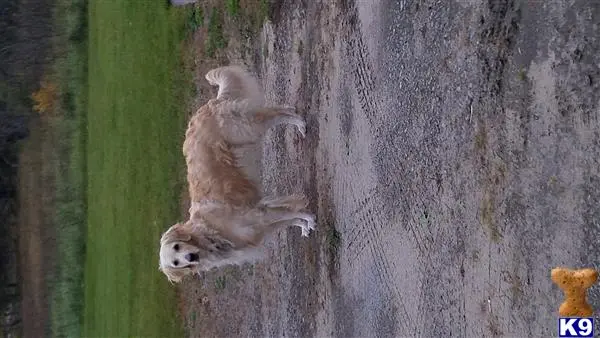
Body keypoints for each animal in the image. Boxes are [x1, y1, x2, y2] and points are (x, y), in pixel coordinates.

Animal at [159, 65, 318, 282]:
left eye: (177, 246)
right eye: (175, 262)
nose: (190, 257)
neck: (211, 233)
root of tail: (209, 104)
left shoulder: (258, 215)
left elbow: (294, 212)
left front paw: (309, 219)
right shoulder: (261, 227)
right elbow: (291, 217)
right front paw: (304, 225)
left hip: (246, 129)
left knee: (278, 114)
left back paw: (300, 123)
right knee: (279, 110)